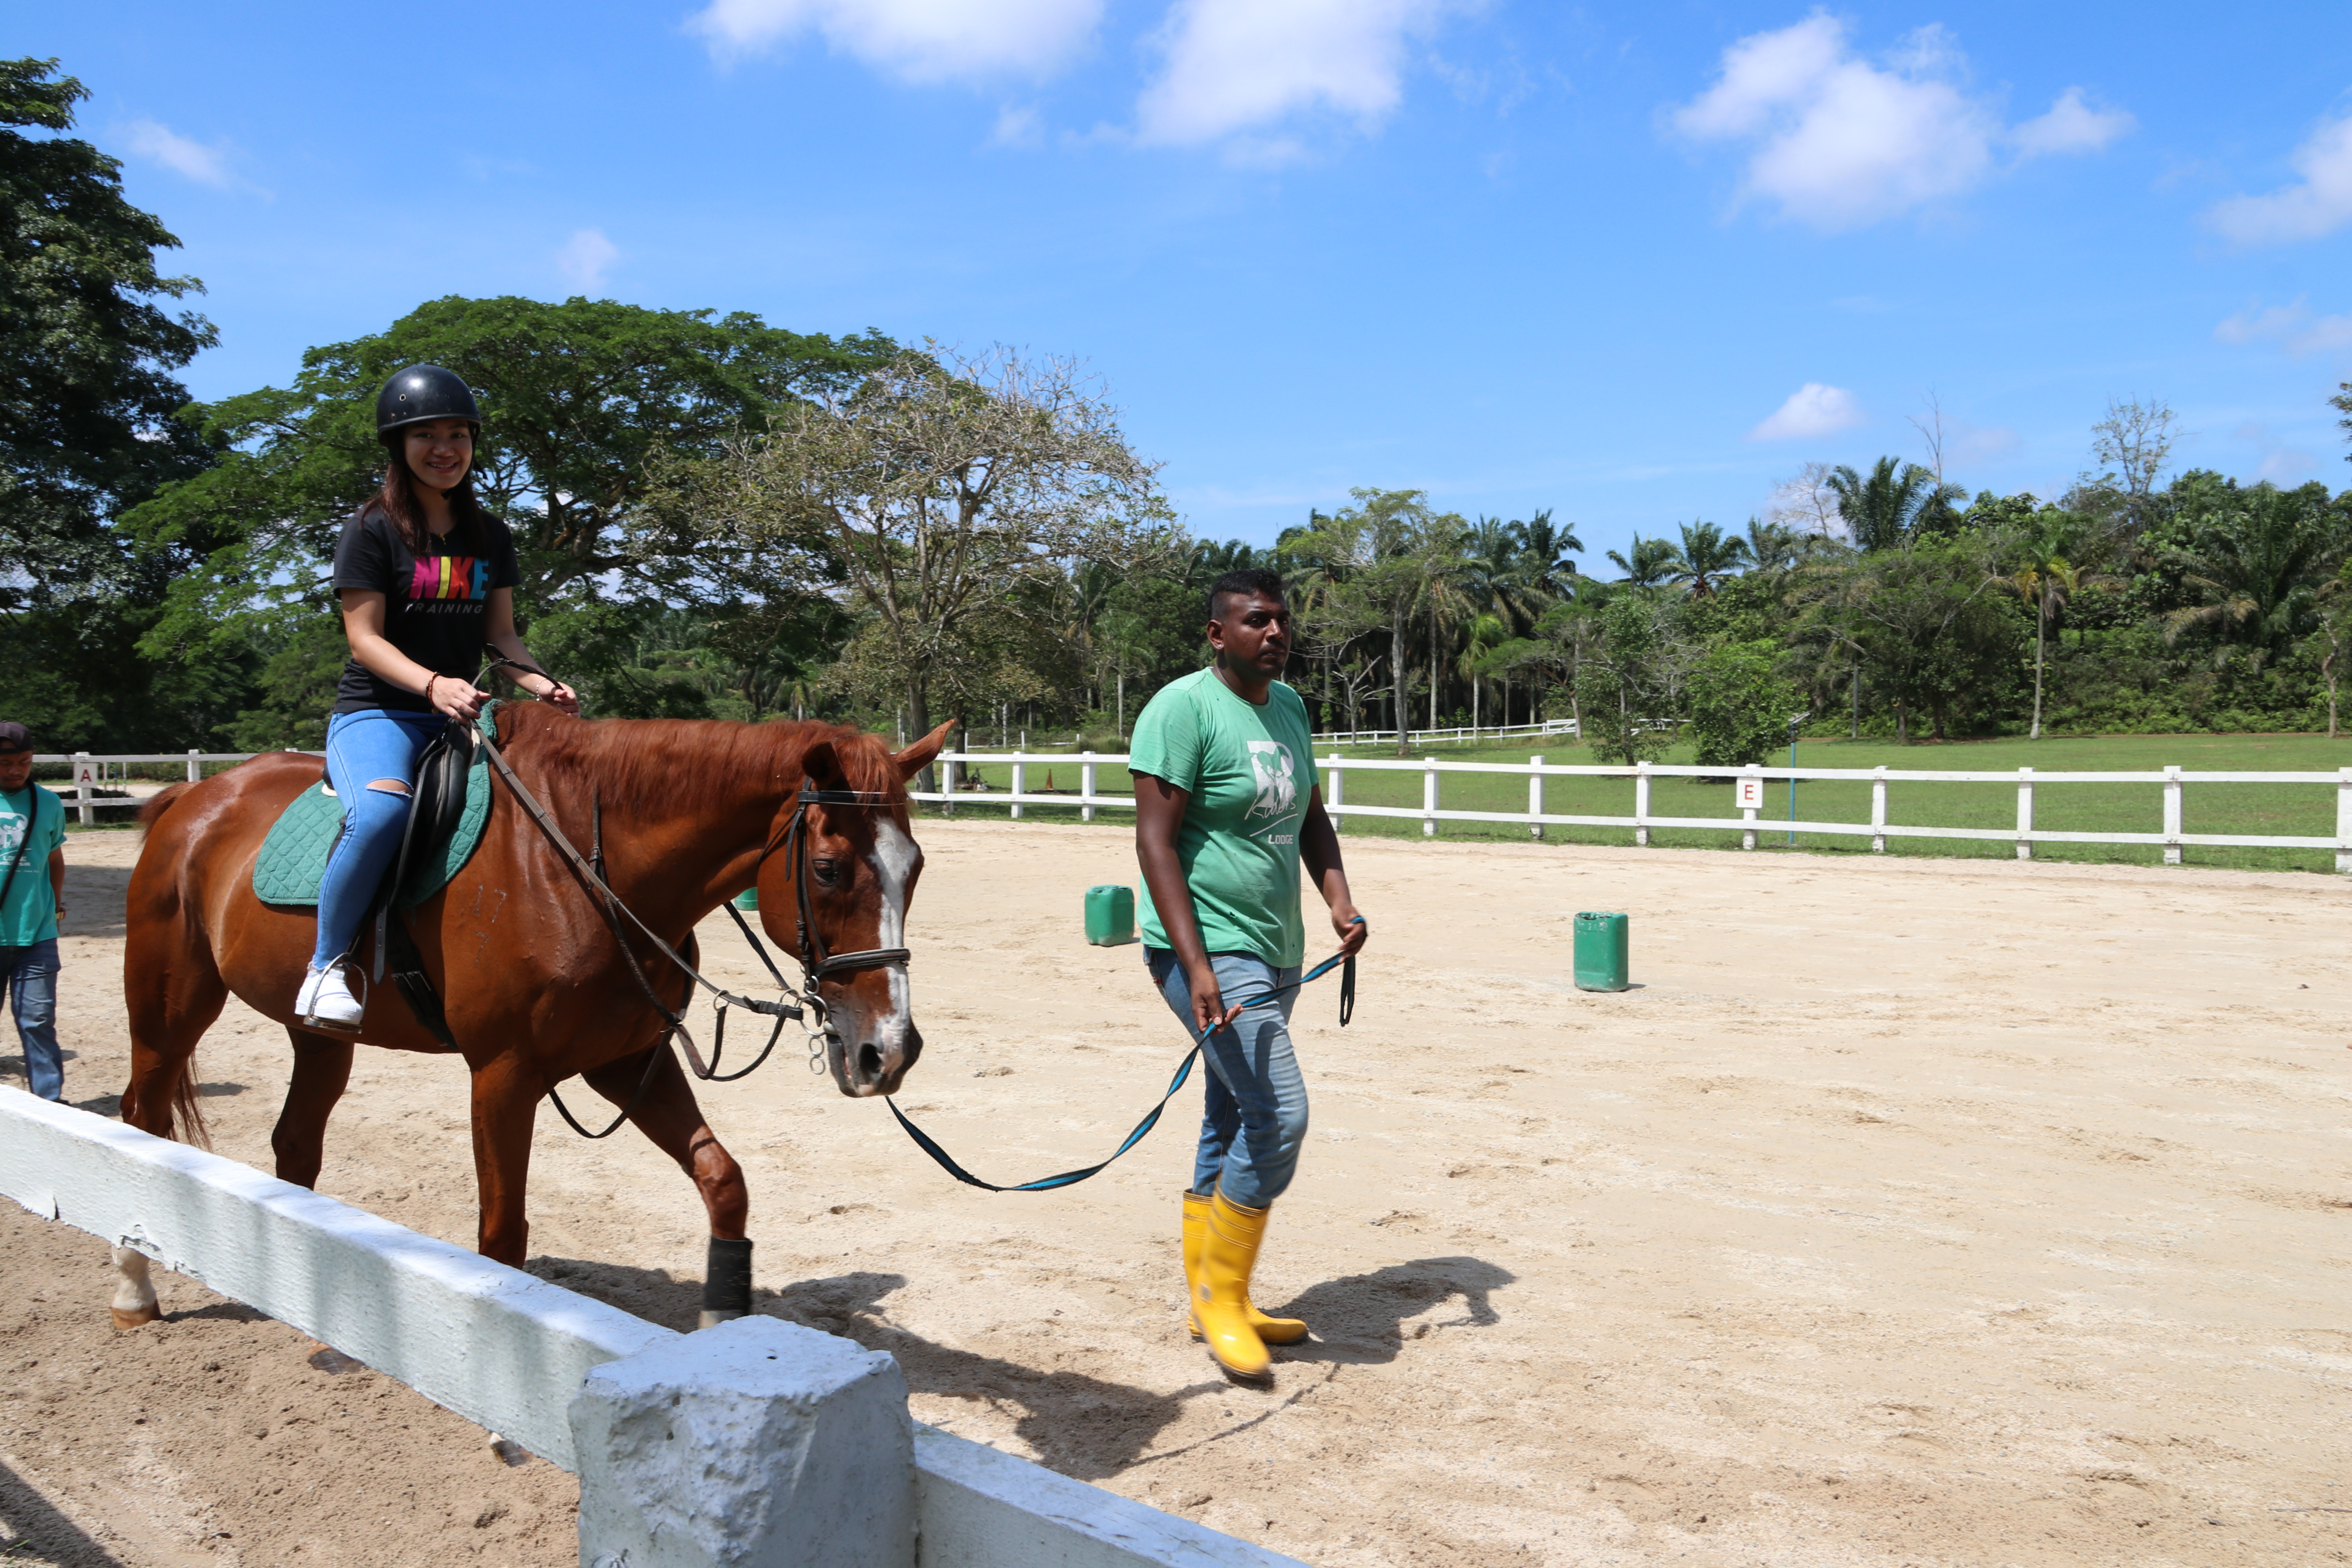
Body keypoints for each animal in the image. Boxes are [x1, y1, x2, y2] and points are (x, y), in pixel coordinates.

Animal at [110, 701, 951, 1327]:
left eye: (914, 870)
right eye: (828, 869)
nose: (889, 1052)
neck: (580, 869)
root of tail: (193, 799)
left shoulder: (624, 1063)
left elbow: (723, 1180)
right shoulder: (503, 1076)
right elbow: (502, 1235)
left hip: (319, 1038)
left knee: (295, 1143)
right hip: (170, 1012)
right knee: (139, 1117)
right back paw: (133, 1289)